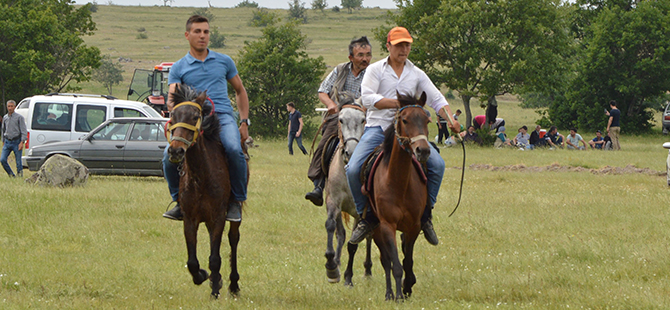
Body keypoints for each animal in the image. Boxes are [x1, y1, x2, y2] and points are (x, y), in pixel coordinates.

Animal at [166, 85, 242, 298]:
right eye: (173, 116)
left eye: (195, 116)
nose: (176, 151)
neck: (201, 176)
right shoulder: (190, 219)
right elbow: (192, 261)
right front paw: (202, 276)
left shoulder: (218, 216)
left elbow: (215, 258)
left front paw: (215, 289)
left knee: (233, 240)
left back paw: (234, 285)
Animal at [370, 91, 434, 300]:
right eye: (404, 120)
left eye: (427, 120)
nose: (423, 150)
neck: (398, 183)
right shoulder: (387, 225)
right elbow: (395, 264)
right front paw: (398, 294)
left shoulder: (413, 226)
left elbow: (407, 260)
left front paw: (407, 286)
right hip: (375, 229)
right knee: (386, 260)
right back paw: (389, 293)